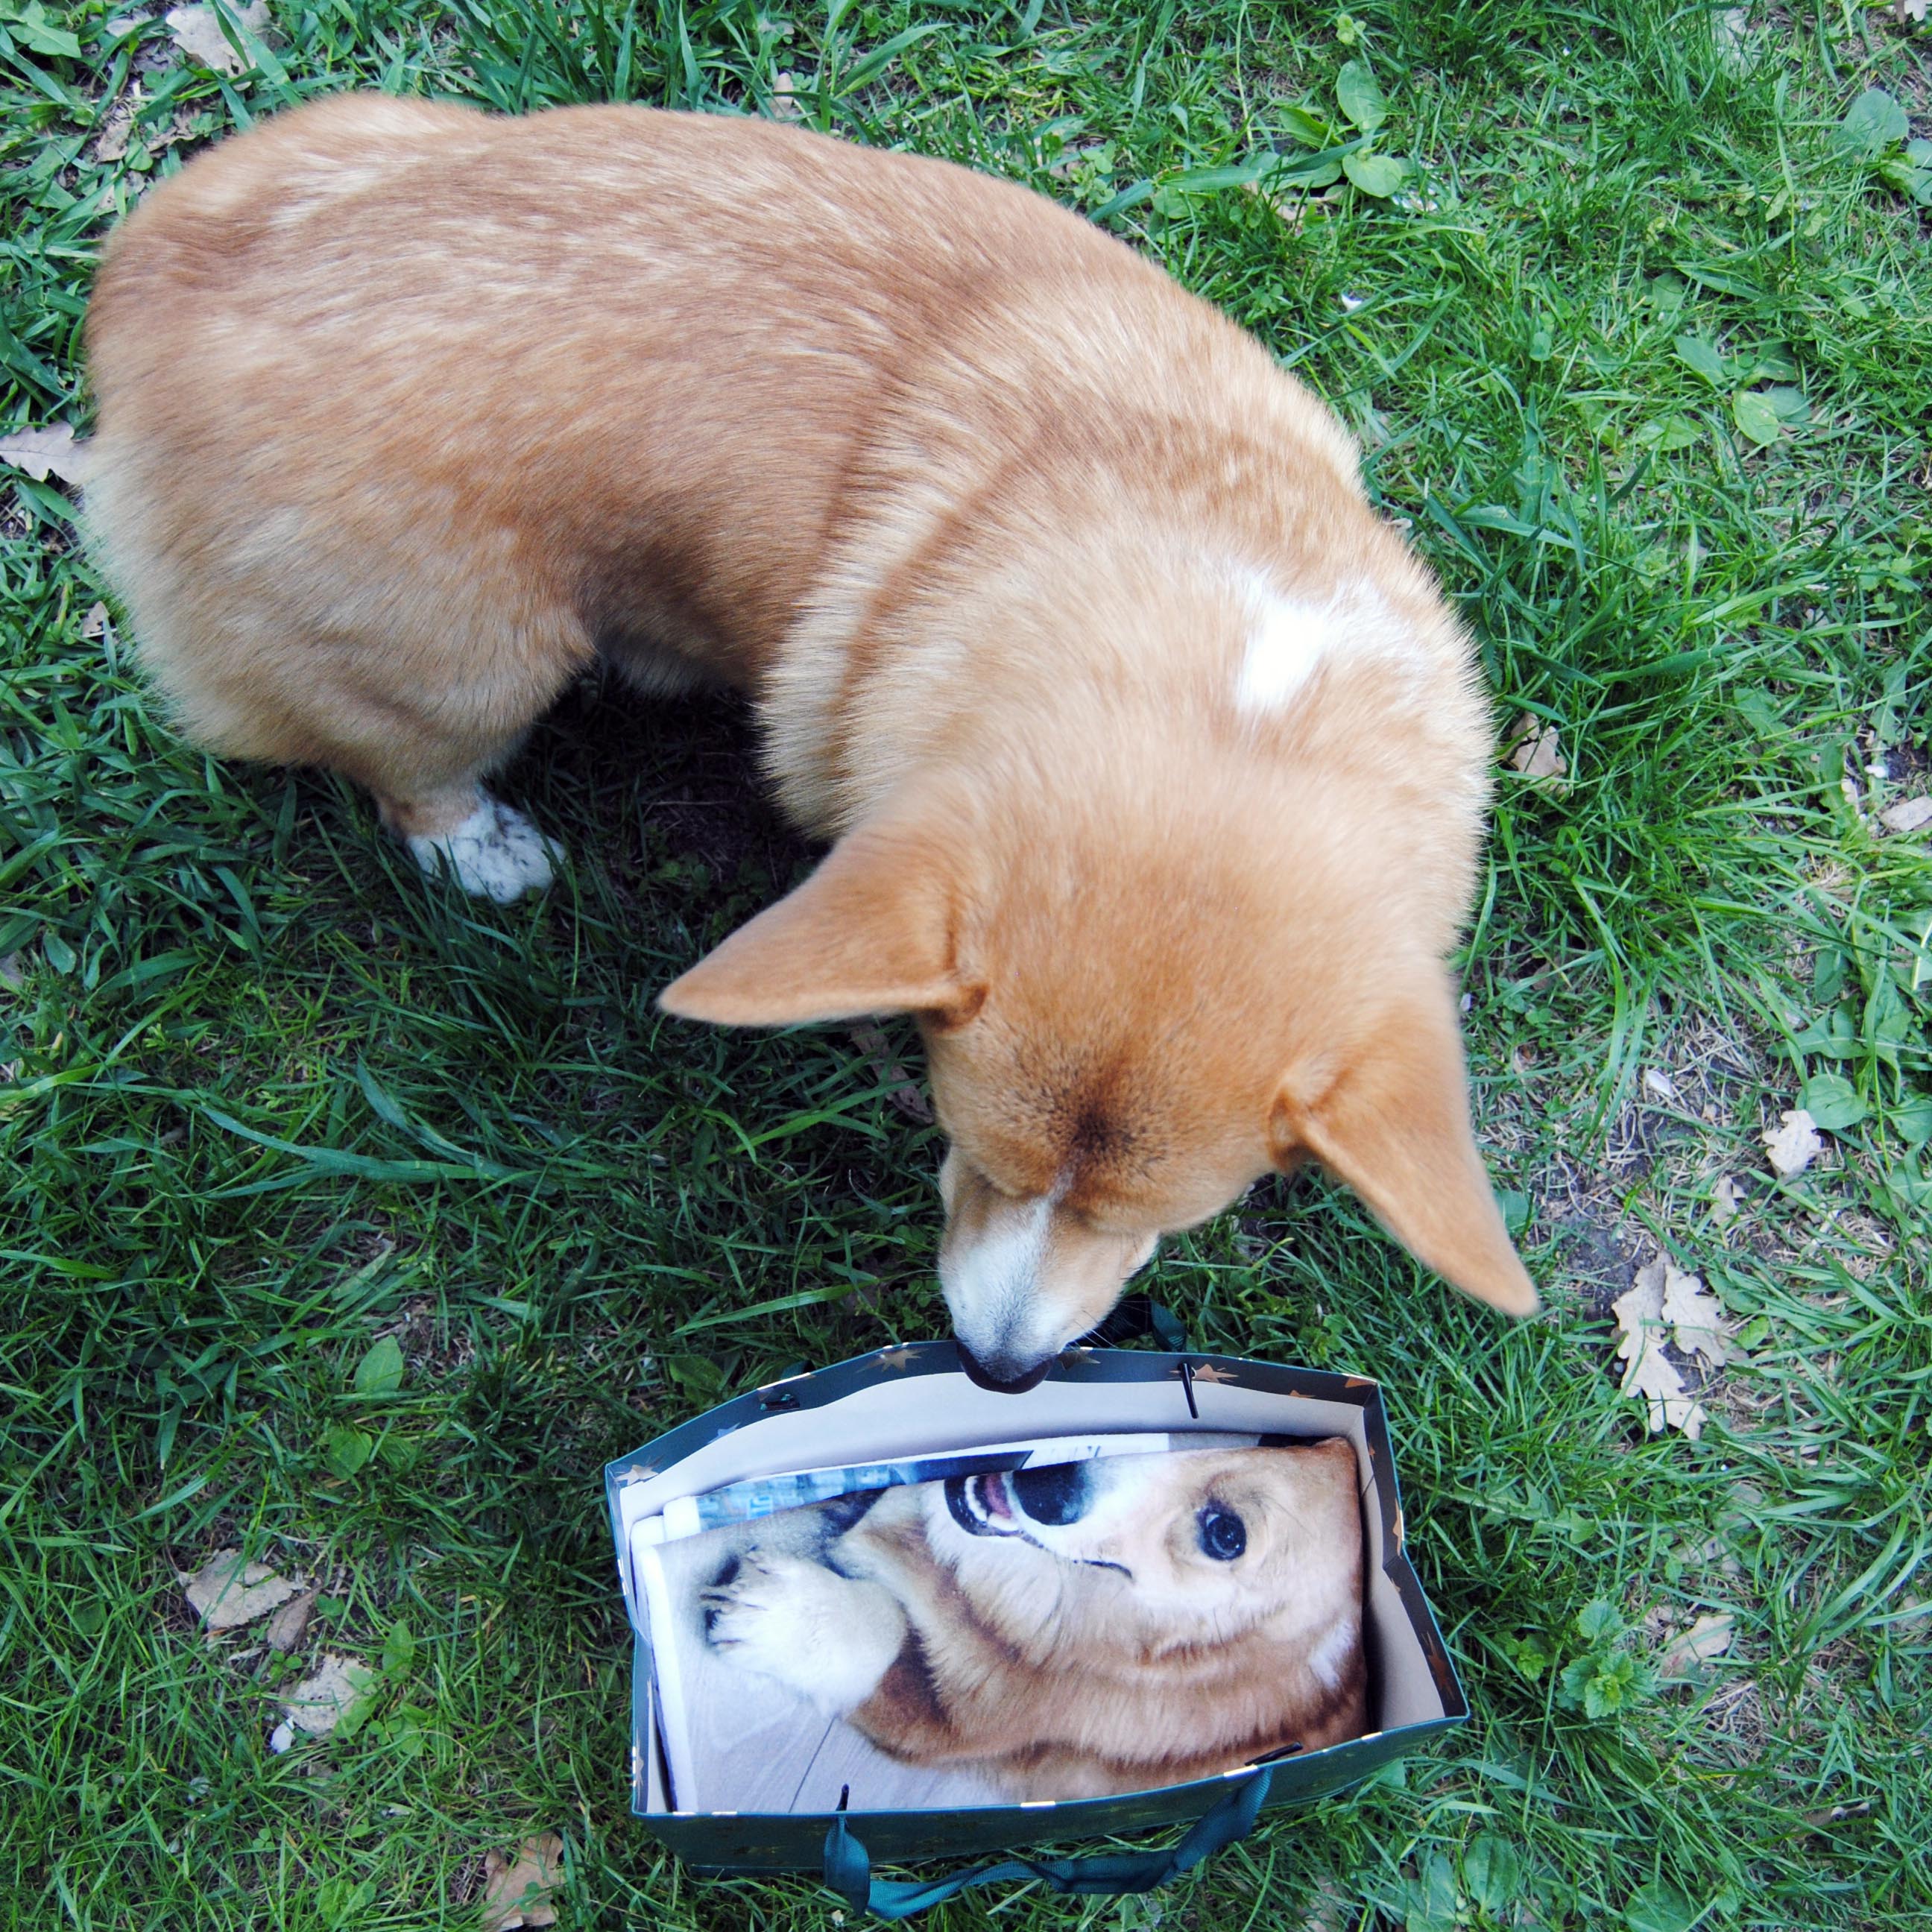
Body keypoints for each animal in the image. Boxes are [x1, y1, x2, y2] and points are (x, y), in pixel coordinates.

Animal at [86, 94, 1538, 1391]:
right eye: (969, 1151)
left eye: (1160, 1223)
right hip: (477, 662)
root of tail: (153, 291)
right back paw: (483, 846)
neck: (1242, 691)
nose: (999, 1373)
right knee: (401, 767)